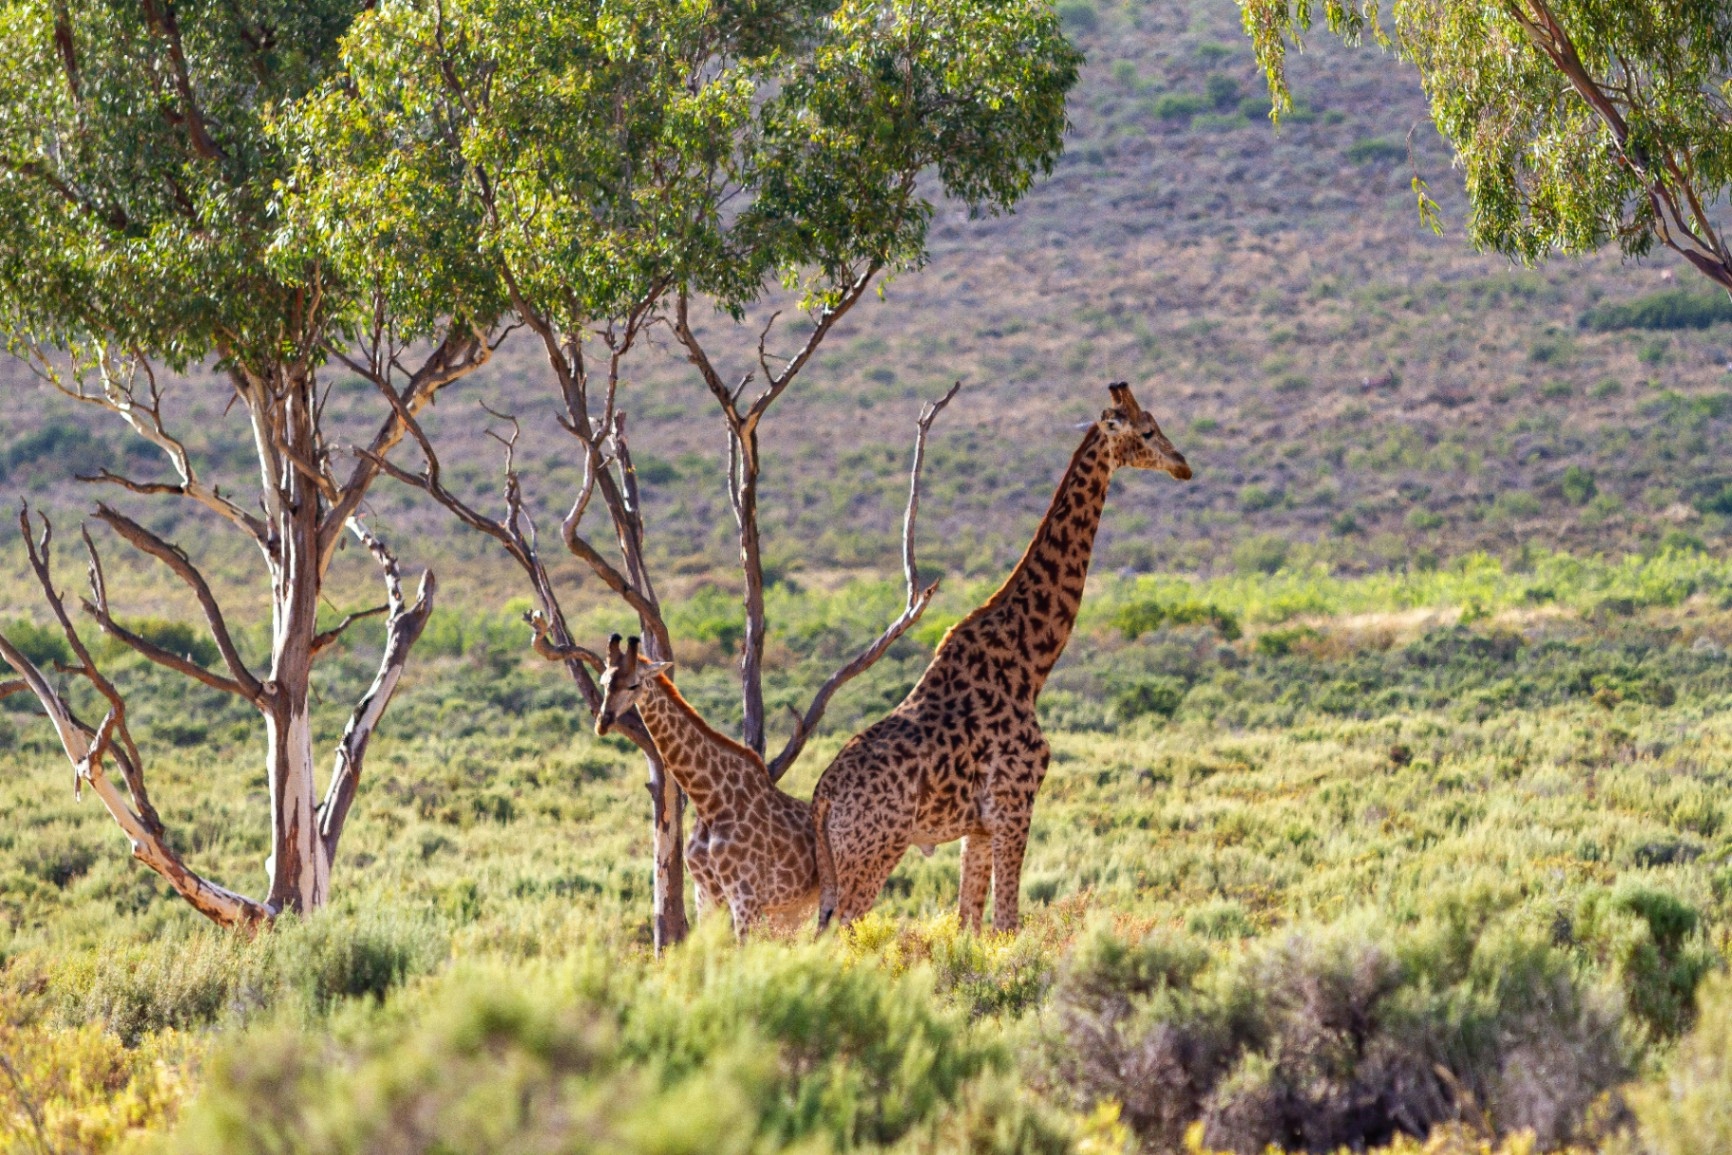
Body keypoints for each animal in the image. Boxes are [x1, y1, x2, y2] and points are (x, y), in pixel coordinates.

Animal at [595, 633, 817, 942]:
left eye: (634, 684)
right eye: (604, 682)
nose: (603, 722)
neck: (710, 801)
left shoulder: (744, 896)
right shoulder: (706, 894)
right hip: (792, 909)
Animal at [810, 384, 1191, 935]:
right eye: (1147, 431)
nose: (1183, 465)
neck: (1030, 662)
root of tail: (820, 800)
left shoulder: (980, 825)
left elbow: (967, 922)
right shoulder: (1015, 805)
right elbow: (1007, 922)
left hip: (835, 869)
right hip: (873, 853)